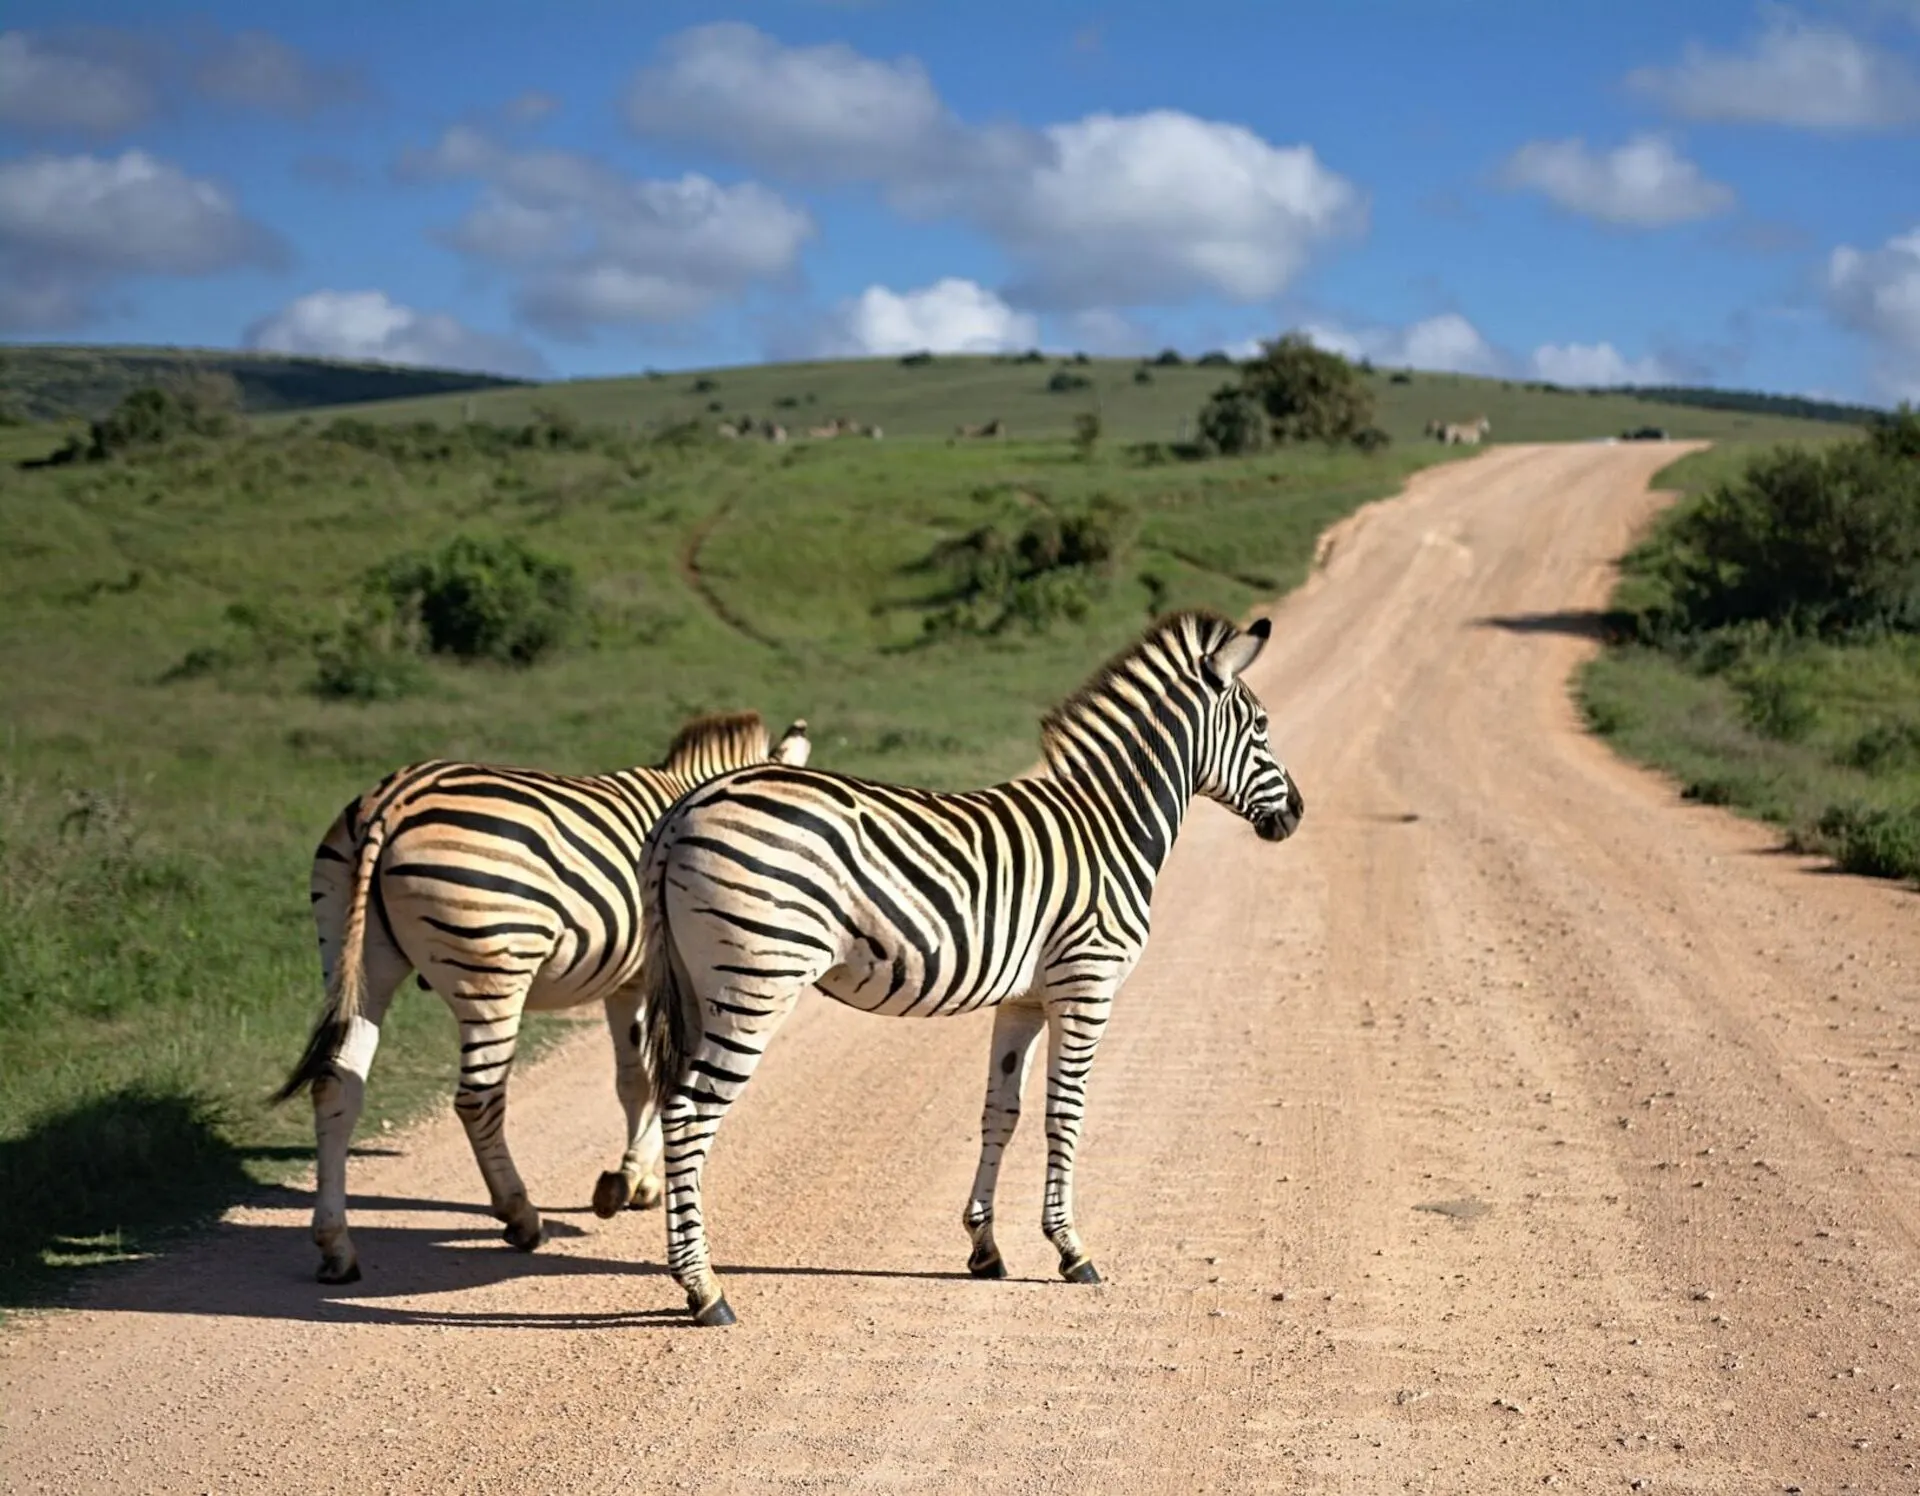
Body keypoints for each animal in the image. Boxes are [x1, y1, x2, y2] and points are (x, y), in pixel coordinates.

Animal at [276, 706, 810, 1282]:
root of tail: (391, 801)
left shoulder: (629, 982)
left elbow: (634, 1080)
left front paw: (634, 1180)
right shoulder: (662, 977)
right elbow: (661, 1079)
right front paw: (632, 1178)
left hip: (355, 958)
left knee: (336, 1086)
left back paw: (336, 1246)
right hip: (491, 971)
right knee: (478, 1099)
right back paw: (521, 1216)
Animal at [629, 606, 1305, 1321]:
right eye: (1262, 726)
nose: (1296, 813)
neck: (1110, 825)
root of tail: (682, 812)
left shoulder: (1024, 1000)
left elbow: (1000, 1113)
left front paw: (985, 1248)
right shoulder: (1086, 984)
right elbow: (1065, 1112)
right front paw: (1072, 1250)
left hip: (700, 985)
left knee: (675, 1104)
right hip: (757, 982)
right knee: (689, 1113)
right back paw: (704, 1288)